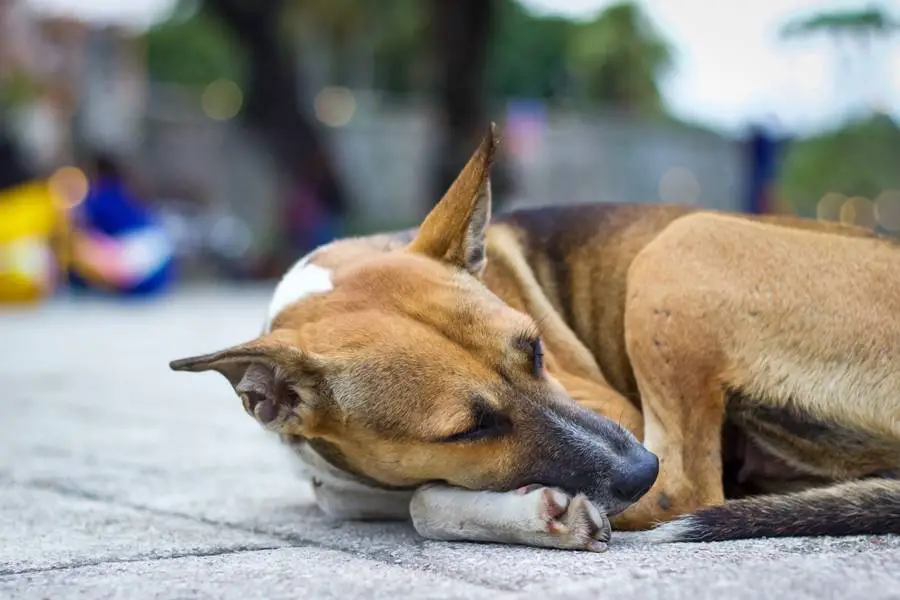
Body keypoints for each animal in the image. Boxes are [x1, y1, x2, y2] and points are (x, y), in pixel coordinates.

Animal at [171, 124, 900, 552]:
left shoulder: (612, 408)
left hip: (678, 246)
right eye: (468, 430)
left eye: (536, 350)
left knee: (684, 492)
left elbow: (425, 504)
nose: (637, 468)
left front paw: (540, 513)